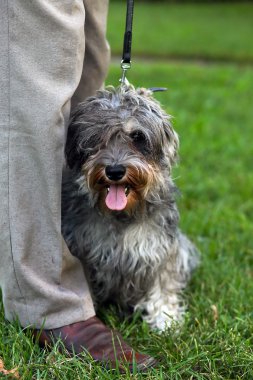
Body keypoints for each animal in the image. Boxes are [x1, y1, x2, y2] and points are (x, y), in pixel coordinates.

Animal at [61, 84, 200, 332]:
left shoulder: (161, 249)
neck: (121, 215)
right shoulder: (82, 249)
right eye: (96, 137)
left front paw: (165, 318)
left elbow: (163, 281)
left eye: (137, 136)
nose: (115, 171)